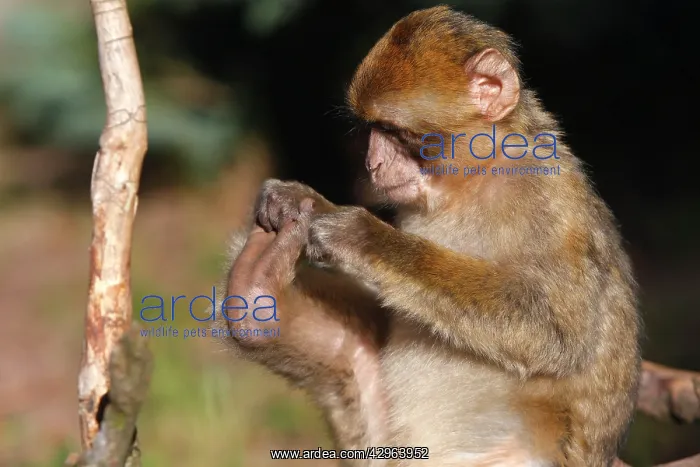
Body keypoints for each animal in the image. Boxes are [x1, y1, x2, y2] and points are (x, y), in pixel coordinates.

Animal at [216, 6, 642, 467]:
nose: (372, 164)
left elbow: (556, 331)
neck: (472, 181)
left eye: (394, 130)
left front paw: (364, 238)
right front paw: (305, 202)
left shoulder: (548, 199)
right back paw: (257, 291)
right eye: (370, 130)